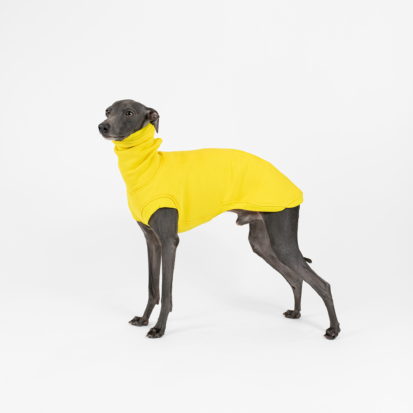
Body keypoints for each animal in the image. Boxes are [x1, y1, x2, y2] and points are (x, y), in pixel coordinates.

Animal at [98, 99, 340, 338]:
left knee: (322, 284)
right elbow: (153, 289)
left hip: (282, 241)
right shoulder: (152, 241)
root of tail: (293, 187)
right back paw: (296, 313)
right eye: (108, 111)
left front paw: (159, 328)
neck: (149, 166)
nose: (102, 126)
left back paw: (334, 329)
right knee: (296, 278)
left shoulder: (169, 241)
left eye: (129, 112)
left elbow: (166, 294)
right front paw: (144, 319)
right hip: (263, 244)